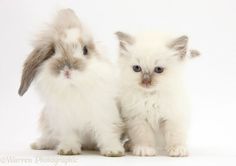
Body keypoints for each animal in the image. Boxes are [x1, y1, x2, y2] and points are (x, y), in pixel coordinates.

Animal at [18, 8, 125, 157]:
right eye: (52, 51)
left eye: (85, 50)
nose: (67, 69)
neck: (73, 88)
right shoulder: (63, 120)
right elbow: (68, 135)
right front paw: (68, 150)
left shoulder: (105, 115)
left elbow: (108, 133)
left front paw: (113, 151)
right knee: (48, 137)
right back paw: (38, 144)